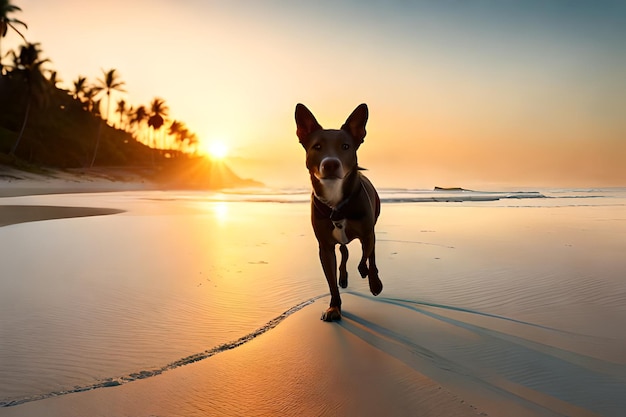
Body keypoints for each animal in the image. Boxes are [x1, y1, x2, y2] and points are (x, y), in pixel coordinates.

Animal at [294, 102, 380, 320]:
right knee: (344, 251)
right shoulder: (324, 247)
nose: (331, 163)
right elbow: (331, 280)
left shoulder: (367, 233)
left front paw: (368, 275)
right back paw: (343, 277)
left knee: (370, 254)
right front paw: (334, 307)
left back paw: (374, 281)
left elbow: (367, 255)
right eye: (317, 146)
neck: (336, 202)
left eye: (346, 146)